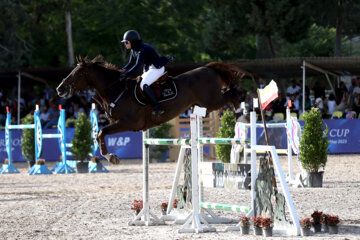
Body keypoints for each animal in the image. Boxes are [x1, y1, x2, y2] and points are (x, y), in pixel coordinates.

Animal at [56, 55, 242, 164]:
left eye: (78, 74)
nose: (59, 89)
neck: (116, 89)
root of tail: (209, 68)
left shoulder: (128, 123)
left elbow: (101, 132)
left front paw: (112, 157)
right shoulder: (120, 123)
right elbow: (99, 134)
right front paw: (108, 156)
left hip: (212, 101)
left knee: (234, 93)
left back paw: (240, 114)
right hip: (206, 103)